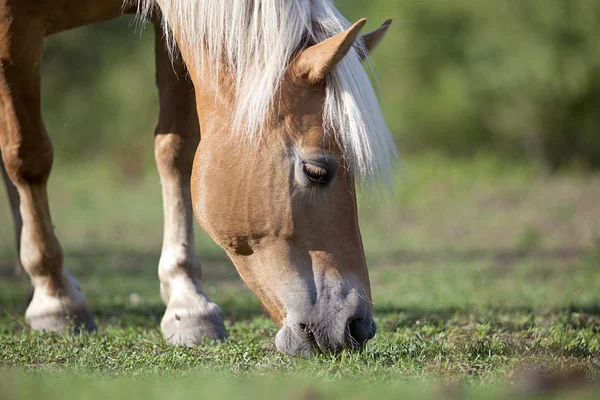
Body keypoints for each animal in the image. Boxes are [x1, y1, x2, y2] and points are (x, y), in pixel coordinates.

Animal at [0, 0, 398, 356]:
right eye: (316, 172)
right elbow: (28, 156)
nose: (359, 326)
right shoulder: (12, 29)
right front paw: (55, 299)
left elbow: (176, 152)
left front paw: (188, 303)